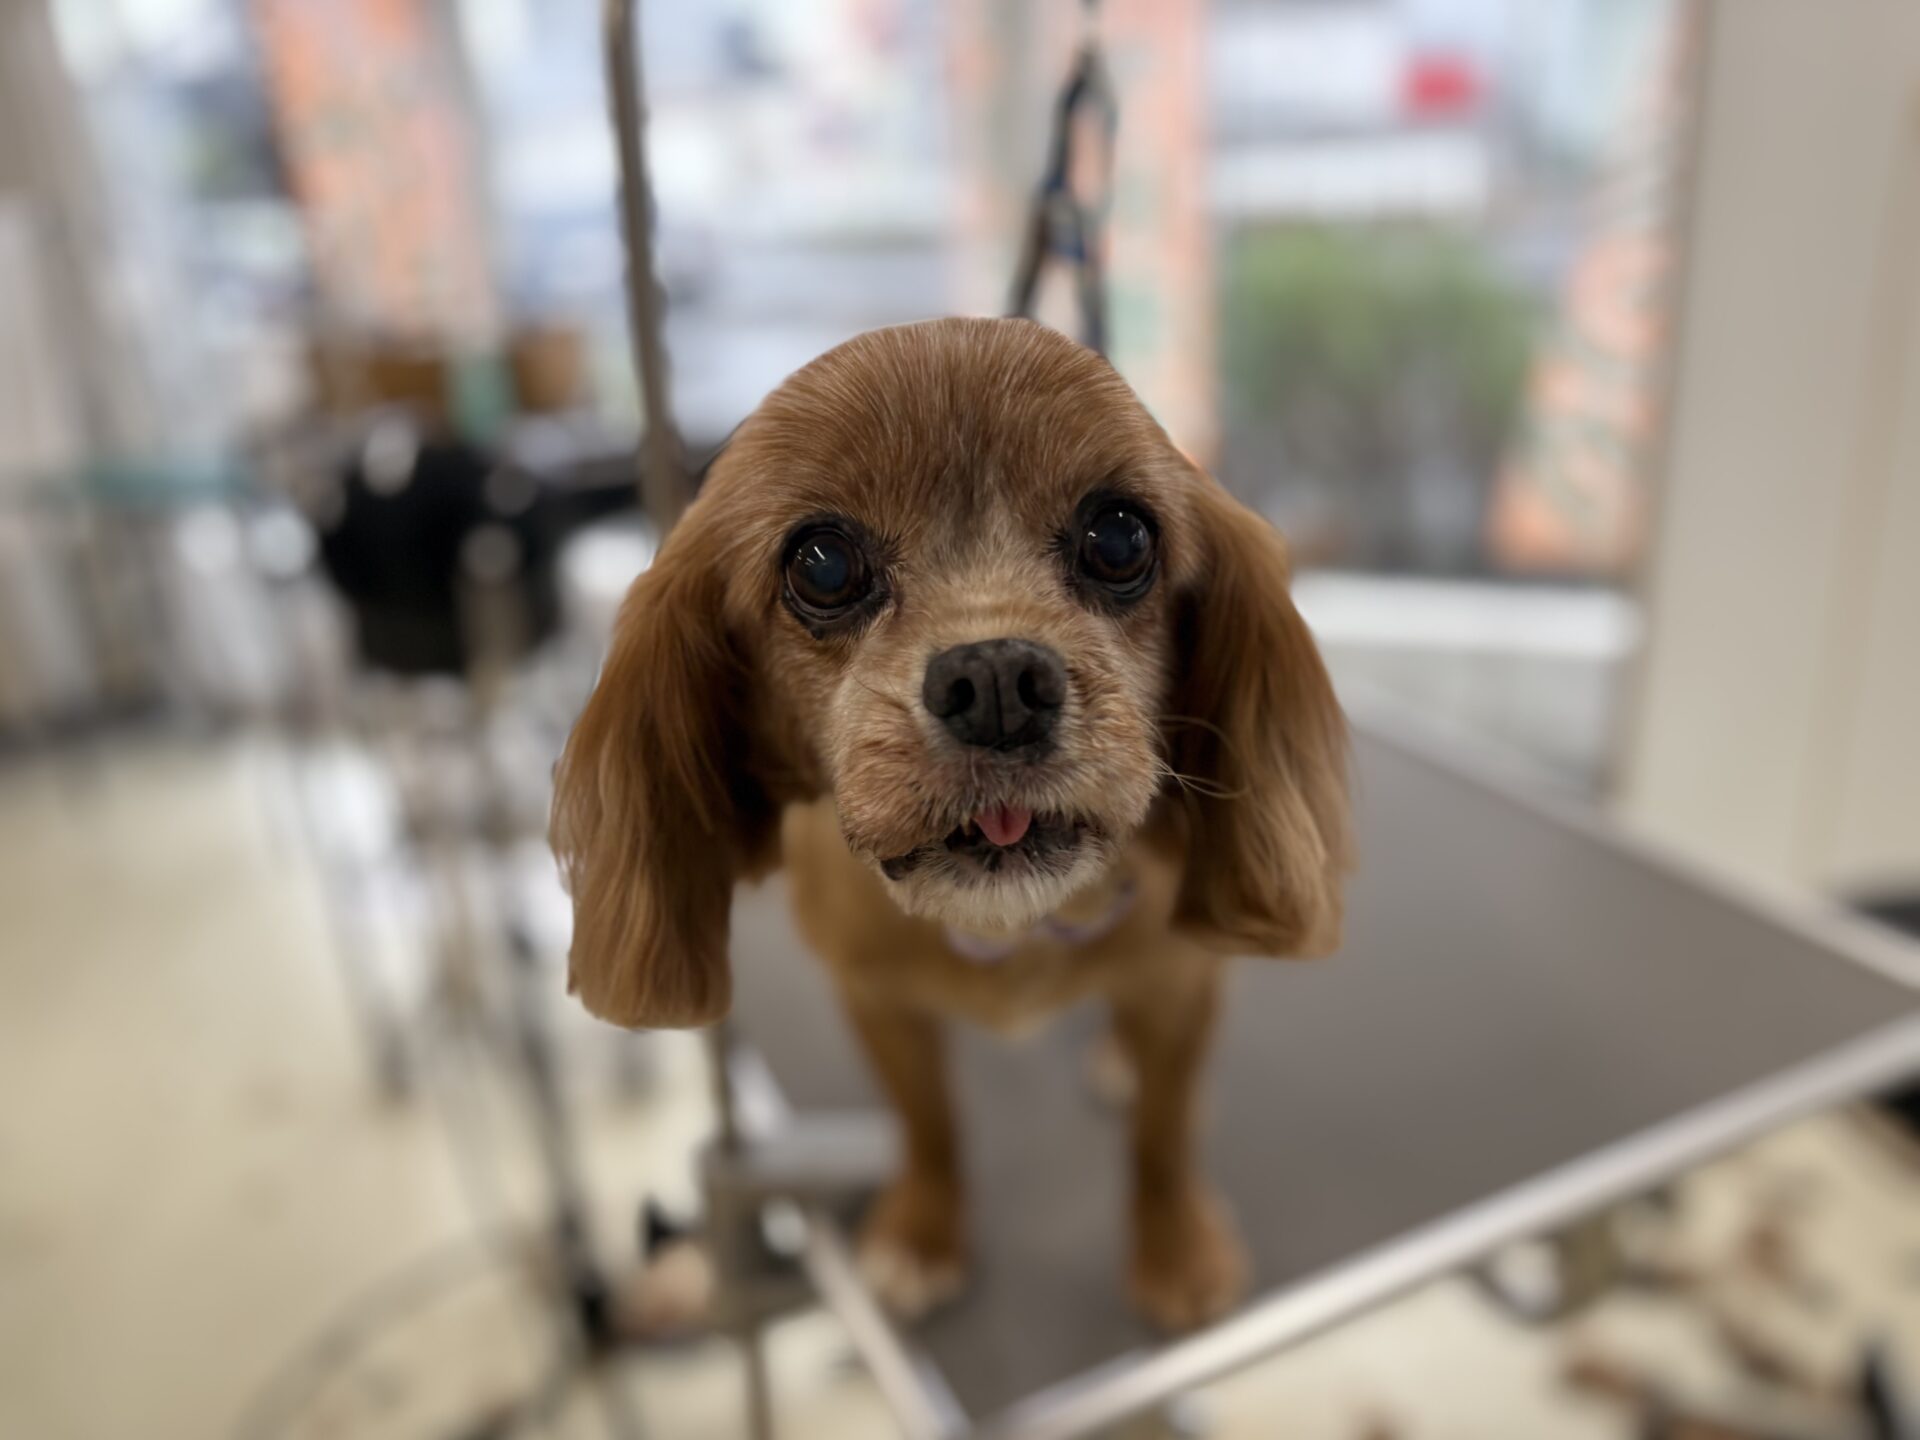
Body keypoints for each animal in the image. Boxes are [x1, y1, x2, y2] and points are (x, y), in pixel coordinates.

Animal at [552, 316, 1350, 1331]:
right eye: (821, 564)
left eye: (1121, 536)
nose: (1000, 680)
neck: (1009, 931)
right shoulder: (875, 1002)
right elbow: (928, 1122)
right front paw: (924, 1234)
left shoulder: (1183, 986)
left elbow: (1164, 1135)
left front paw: (1176, 1250)